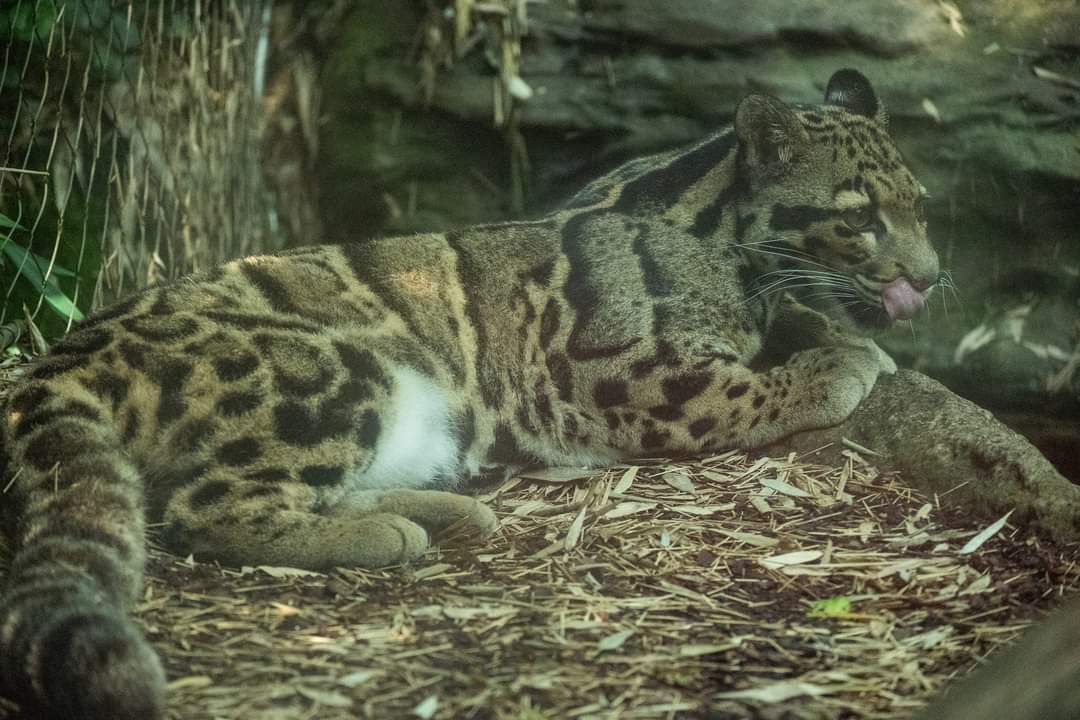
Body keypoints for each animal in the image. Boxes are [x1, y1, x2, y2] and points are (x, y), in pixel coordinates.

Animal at [0, 69, 937, 719]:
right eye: (859, 218)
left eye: (922, 204)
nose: (930, 278)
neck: (722, 234)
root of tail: (66, 349)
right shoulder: (602, 372)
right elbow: (732, 390)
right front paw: (836, 366)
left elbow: (793, 320)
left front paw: (839, 337)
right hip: (336, 366)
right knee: (204, 507)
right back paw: (386, 531)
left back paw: (440, 512)